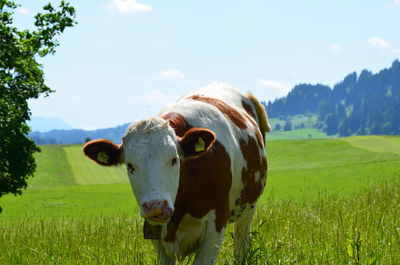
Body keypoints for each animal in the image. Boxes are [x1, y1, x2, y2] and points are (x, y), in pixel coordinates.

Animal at [83, 81, 270, 262]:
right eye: (130, 166)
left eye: (174, 159)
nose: (156, 206)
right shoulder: (157, 236)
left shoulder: (215, 226)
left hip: (248, 209)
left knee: (241, 246)